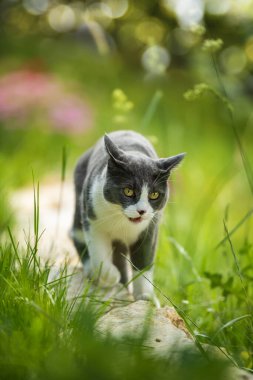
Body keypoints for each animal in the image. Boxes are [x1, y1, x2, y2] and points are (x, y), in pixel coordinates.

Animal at [70, 131, 185, 306]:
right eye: (128, 191)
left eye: (154, 194)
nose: (142, 211)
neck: (122, 221)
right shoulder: (92, 217)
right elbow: (98, 250)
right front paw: (110, 275)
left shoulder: (150, 229)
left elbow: (143, 262)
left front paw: (146, 296)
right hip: (79, 197)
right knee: (76, 234)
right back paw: (94, 272)